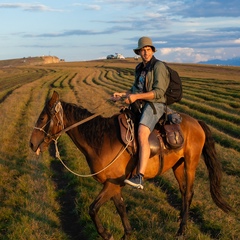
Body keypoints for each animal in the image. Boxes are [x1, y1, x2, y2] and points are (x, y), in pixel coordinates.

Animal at [29, 91, 232, 239]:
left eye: (42, 118)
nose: (31, 144)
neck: (101, 139)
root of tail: (196, 121)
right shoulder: (114, 184)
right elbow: (121, 208)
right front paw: (127, 234)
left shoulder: (112, 183)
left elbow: (93, 209)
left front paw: (106, 234)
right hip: (178, 165)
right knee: (183, 192)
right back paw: (181, 220)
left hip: (191, 162)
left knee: (189, 193)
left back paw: (181, 231)